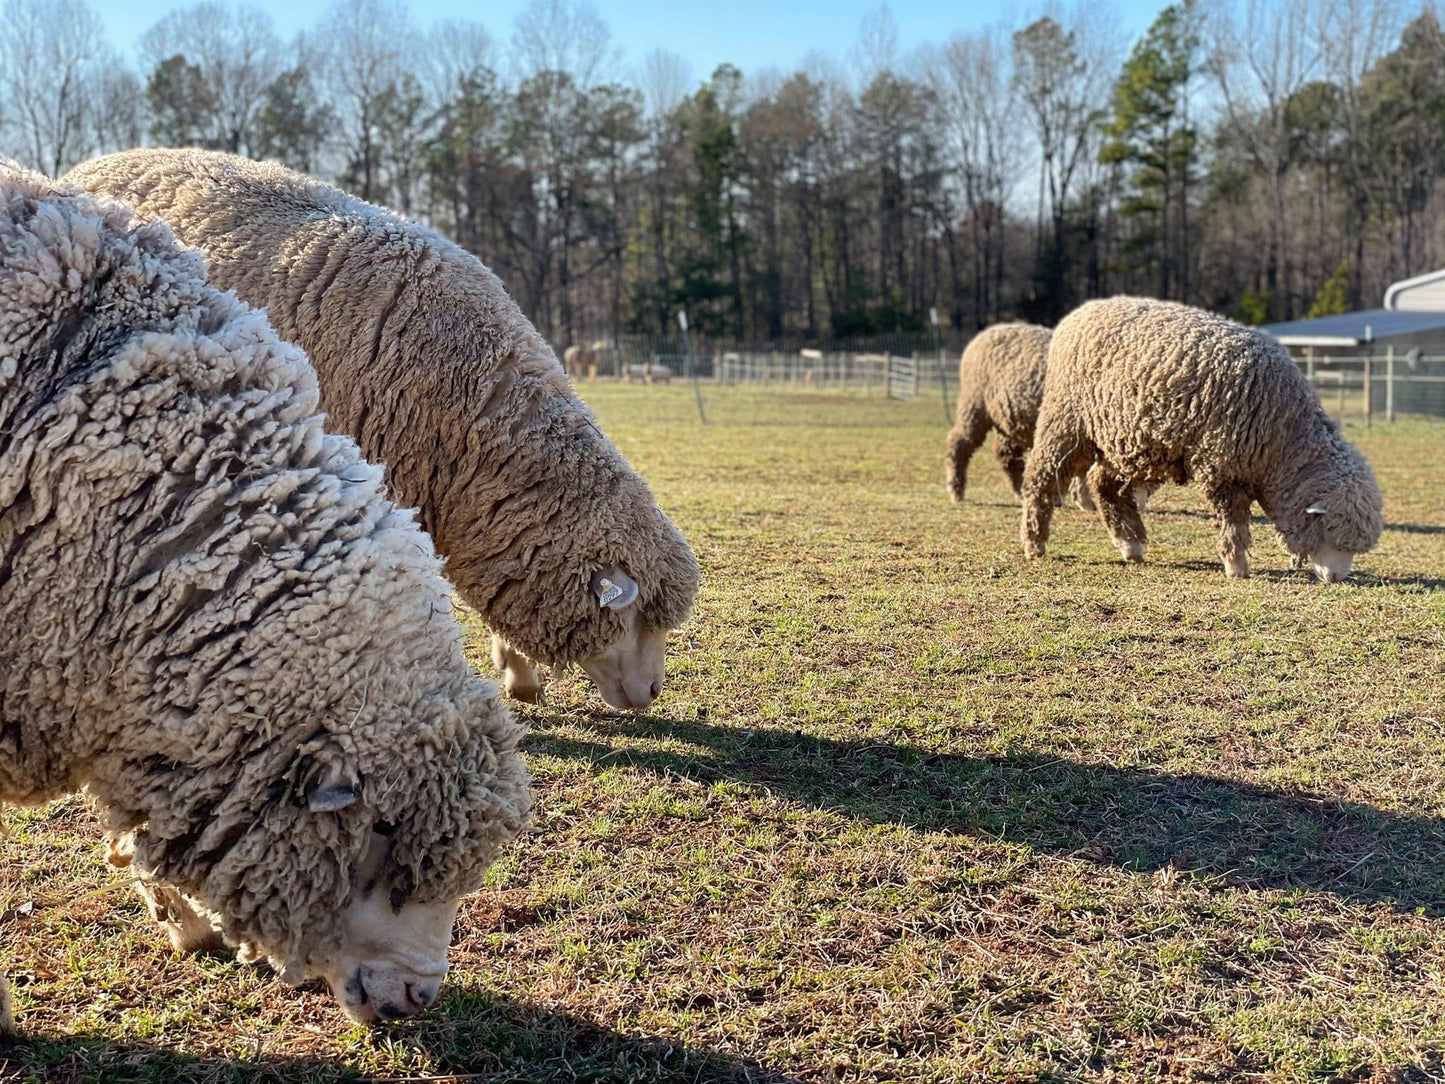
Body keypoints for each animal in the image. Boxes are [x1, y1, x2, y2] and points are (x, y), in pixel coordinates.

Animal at [1023, 297, 1381, 581]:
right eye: (1331, 533)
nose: (1337, 578)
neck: (1283, 439)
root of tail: (1079, 314)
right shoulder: (1223, 468)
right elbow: (1232, 521)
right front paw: (1237, 566)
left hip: (1124, 440)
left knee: (1104, 485)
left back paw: (1131, 545)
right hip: (1068, 423)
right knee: (1041, 477)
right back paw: (1035, 543)